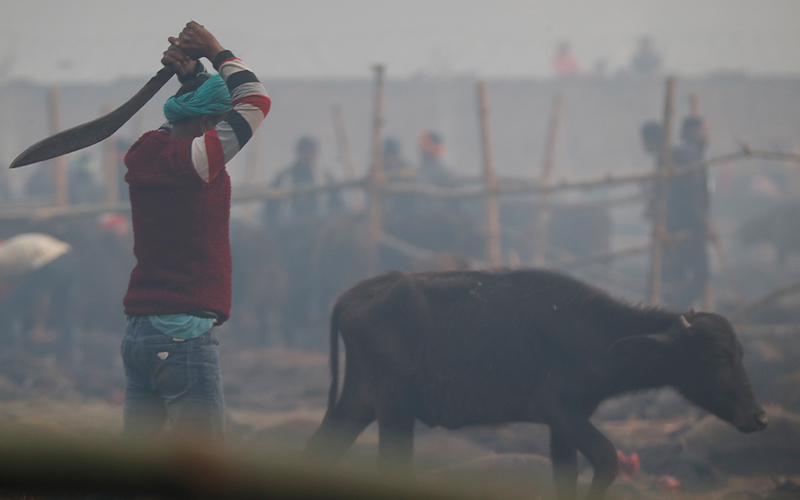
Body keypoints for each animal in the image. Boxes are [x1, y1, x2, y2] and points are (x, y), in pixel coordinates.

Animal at [304, 270, 764, 500]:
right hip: (394, 409)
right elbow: (607, 458)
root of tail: (354, 295)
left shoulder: (563, 425)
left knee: (321, 450)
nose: (758, 417)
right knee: (392, 466)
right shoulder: (559, 410)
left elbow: (567, 476)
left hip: (360, 401)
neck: (598, 333)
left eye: (742, 353)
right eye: (718, 356)